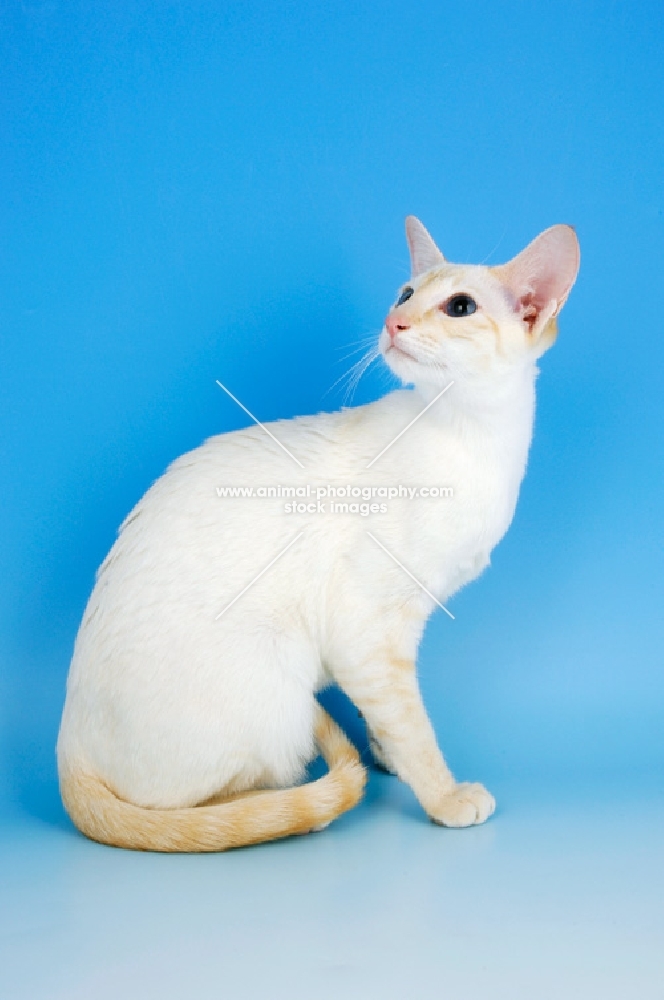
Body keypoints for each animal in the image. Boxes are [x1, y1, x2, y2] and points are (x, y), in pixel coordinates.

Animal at [57, 217, 580, 852]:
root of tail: (66, 746)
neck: (475, 440)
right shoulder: (367, 631)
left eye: (459, 306)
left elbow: (390, 721)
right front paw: (445, 796)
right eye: (405, 295)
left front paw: (385, 757)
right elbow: (412, 726)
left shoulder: (399, 629)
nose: (394, 323)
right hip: (278, 678)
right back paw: (299, 804)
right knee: (201, 811)